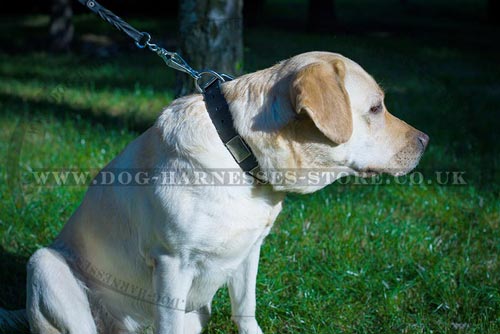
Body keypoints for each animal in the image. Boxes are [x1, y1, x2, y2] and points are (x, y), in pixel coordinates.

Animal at [19, 51, 428, 332]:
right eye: (375, 108)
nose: (426, 140)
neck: (240, 154)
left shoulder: (250, 250)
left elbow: (245, 310)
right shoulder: (172, 264)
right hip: (44, 265)